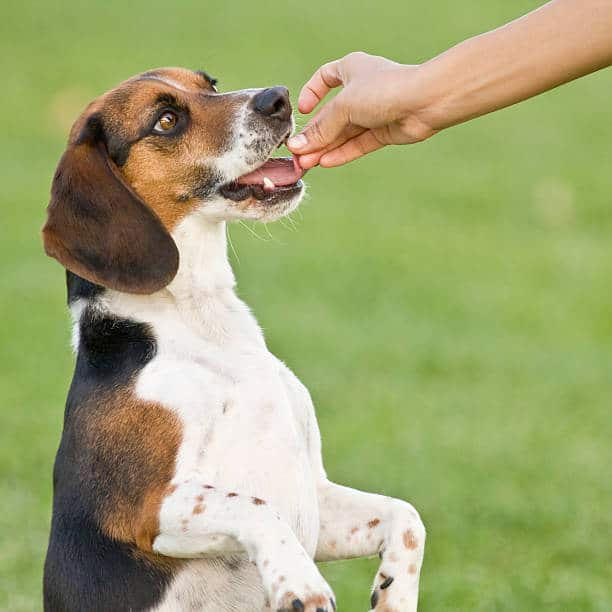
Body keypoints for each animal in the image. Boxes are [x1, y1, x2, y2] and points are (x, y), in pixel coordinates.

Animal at [43, 68, 426, 612]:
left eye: (210, 83)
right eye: (165, 120)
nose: (279, 98)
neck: (204, 322)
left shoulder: (318, 499)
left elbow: (406, 515)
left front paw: (395, 594)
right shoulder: (148, 506)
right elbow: (257, 507)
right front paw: (300, 583)